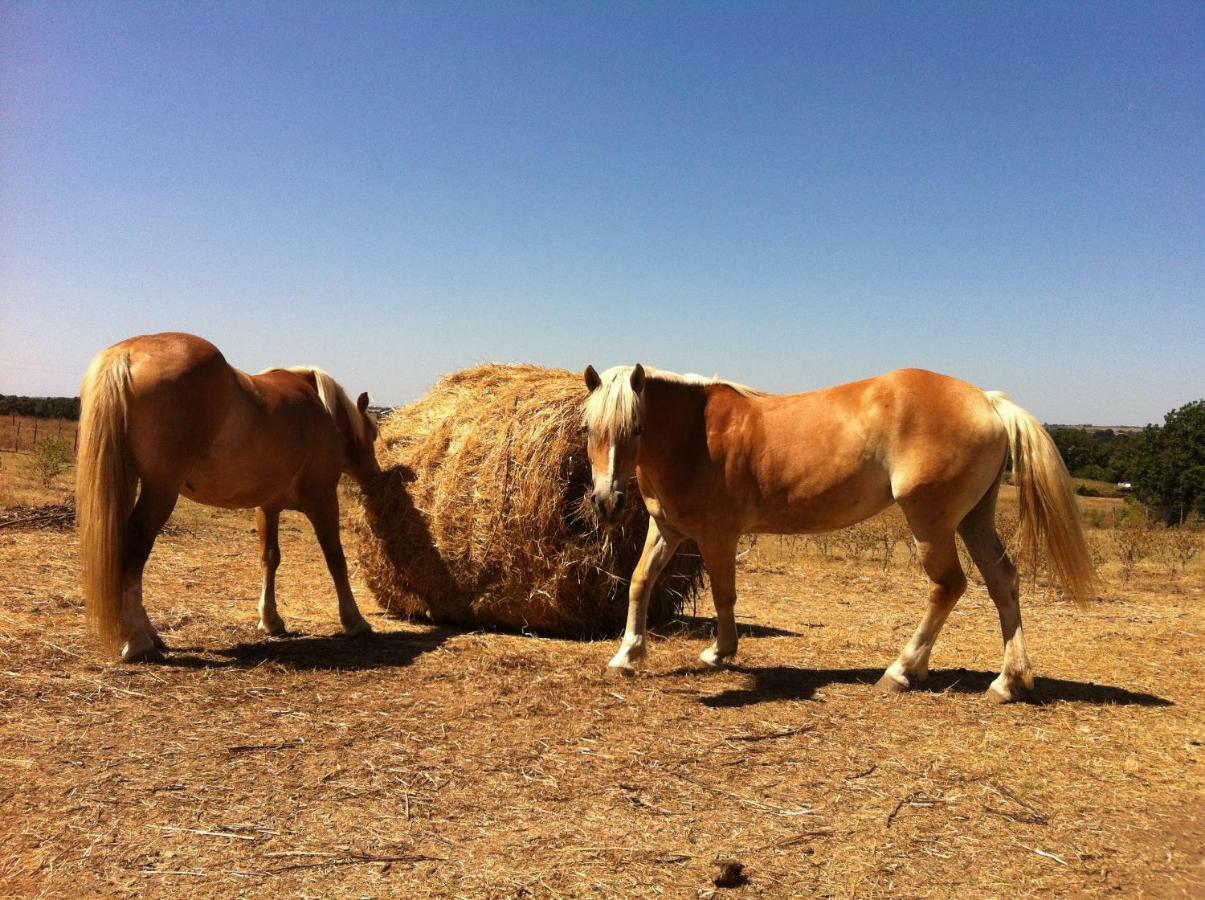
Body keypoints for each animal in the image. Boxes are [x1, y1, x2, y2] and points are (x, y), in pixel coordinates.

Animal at [77, 330, 378, 660]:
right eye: (374, 434)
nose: (375, 476)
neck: (321, 410)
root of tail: (130, 353)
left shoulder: (267, 508)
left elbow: (270, 558)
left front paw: (271, 619)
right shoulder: (323, 499)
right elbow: (335, 558)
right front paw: (354, 620)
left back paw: (151, 635)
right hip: (160, 492)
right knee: (133, 551)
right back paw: (137, 641)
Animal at [578, 363, 1098, 703]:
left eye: (637, 427)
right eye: (587, 428)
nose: (607, 502)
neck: (697, 436)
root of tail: (987, 400)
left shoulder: (717, 536)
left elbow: (725, 595)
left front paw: (719, 653)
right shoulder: (666, 530)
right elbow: (640, 582)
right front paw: (627, 655)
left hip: (931, 522)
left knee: (948, 585)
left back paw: (902, 671)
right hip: (974, 520)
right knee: (1002, 582)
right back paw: (1008, 682)